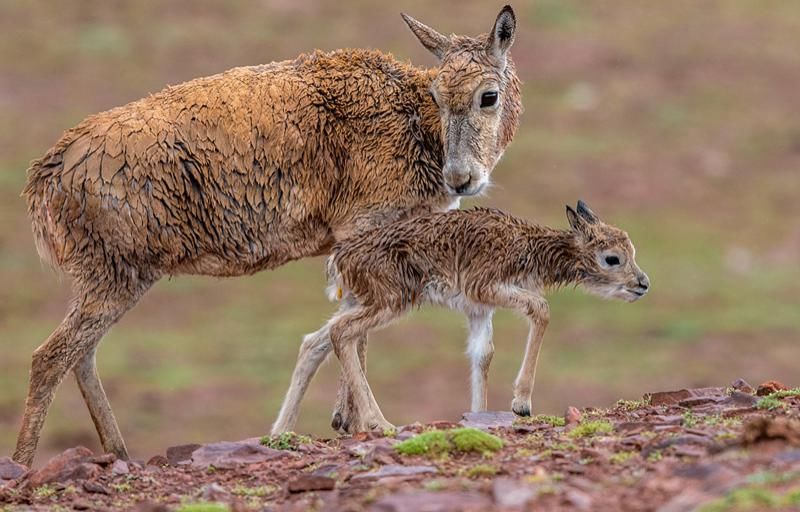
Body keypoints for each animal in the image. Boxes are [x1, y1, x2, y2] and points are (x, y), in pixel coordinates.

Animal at [272, 202, 648, 434]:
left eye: (632, 250)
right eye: (612, 258)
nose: (643, 284)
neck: (526, 245)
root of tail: (338, 258)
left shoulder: (478, 309)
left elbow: (483, 354)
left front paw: (481, 414)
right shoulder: (487, 288)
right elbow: (541, 309)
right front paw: (521, 403)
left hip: (358, 302)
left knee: (314, 342)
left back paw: (281, 431)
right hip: (389, 303)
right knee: (341, 333)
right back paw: (379, 423)